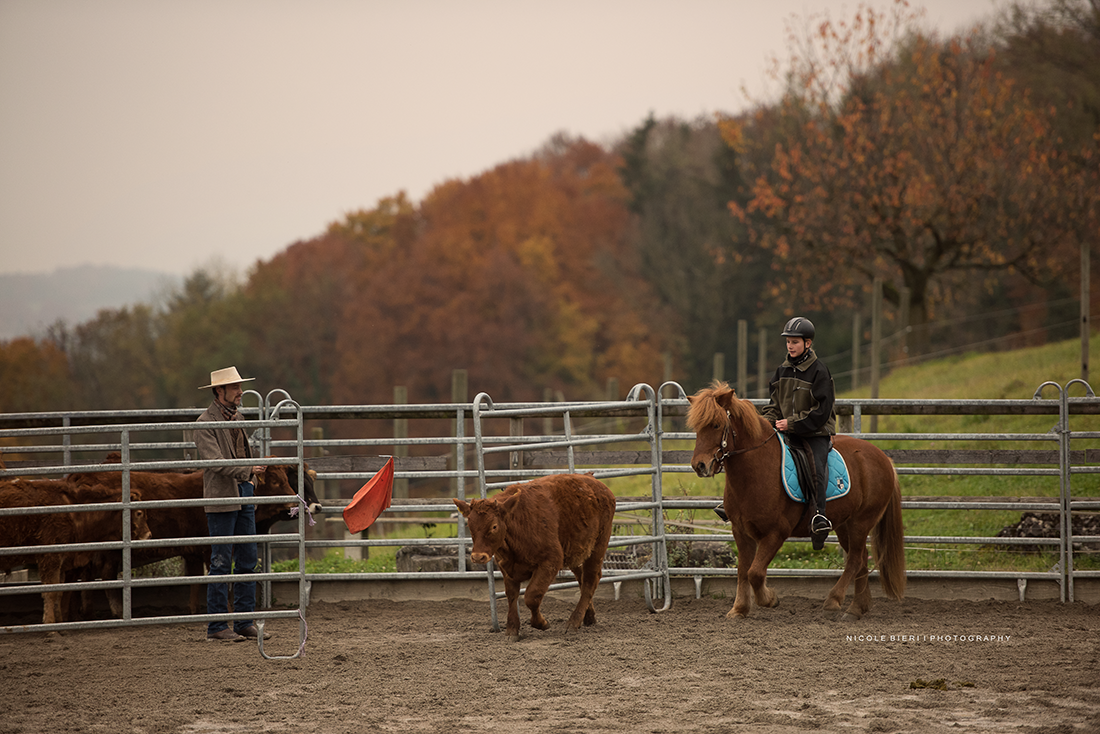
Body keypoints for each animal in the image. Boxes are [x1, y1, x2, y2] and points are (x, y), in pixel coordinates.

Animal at [686, 382, 906, 620]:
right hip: (844, 525)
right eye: (697, 428)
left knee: (855, 559)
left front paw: (769, 599)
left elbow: (755, 573)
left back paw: (834, 600)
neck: (757, 470)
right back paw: (857, 608)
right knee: (862, 559)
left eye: (716, 425)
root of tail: (884, 458)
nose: (699, 465)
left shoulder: (776, 532)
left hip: (861, 521)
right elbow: (743, 571)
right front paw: (739, 609)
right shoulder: (741, 531)